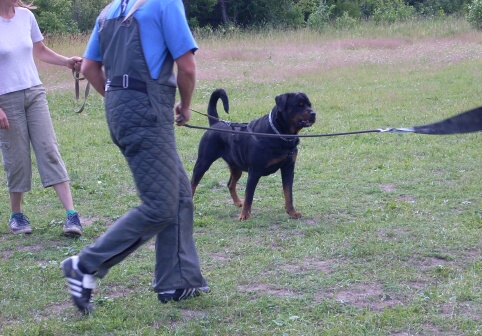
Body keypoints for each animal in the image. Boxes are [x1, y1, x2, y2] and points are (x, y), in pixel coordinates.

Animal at [192, 88, 316, 220]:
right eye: (299, 105)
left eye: (309, 105)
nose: (313, 113)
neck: (282, 134)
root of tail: (215, 123)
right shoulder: (254, 171)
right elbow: (249, 195)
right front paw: (245, 215)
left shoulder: (288, 168)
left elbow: (288, 193)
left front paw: (292, 212)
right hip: (203, 162)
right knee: (193, 183)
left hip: (236, 166)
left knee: (230, 184)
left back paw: (238, 202)